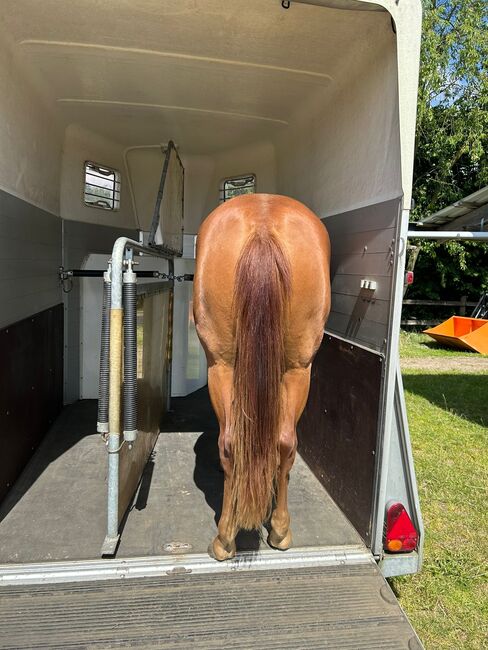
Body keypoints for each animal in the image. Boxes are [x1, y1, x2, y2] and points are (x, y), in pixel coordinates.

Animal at [193, 191, 330, 556]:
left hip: (223, 366)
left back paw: (227, 537)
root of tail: (263, 224)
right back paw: (278, 530)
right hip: (297, 369)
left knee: (235, 443)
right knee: (279, 443)